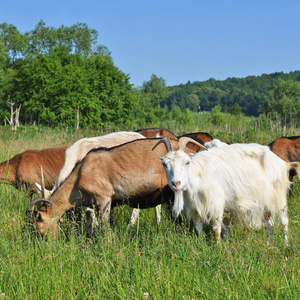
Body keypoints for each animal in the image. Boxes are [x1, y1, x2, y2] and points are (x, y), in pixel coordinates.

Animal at [27, 138, 205, 237]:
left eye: (39, 226)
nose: (45, 243)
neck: (81, 172)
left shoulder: (103, 198)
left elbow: (104, 227)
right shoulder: (109, 204)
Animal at [154, 137, 298, 245]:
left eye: (187, 162)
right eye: (164, 164)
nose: (176, 183)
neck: (198, 176)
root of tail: (282, 163)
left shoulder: (216, 205)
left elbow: (216, 230)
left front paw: (217, 248)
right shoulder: (196, 209)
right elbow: (198, 229)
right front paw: (200, 245)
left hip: (278, 195)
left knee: (284, 222)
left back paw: (285, 245)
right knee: (269, 223)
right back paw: (269, 245)